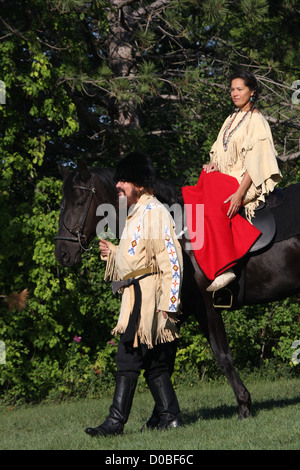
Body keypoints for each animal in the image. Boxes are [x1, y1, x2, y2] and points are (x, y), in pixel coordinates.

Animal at [54, 162, 300, 418]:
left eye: (80, 202)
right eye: (63, 203)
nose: (62, 252)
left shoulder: (206, 307)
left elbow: (222, 356)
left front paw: (243, 404)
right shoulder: (176, 310)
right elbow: (164, 360)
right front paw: (161, 416)